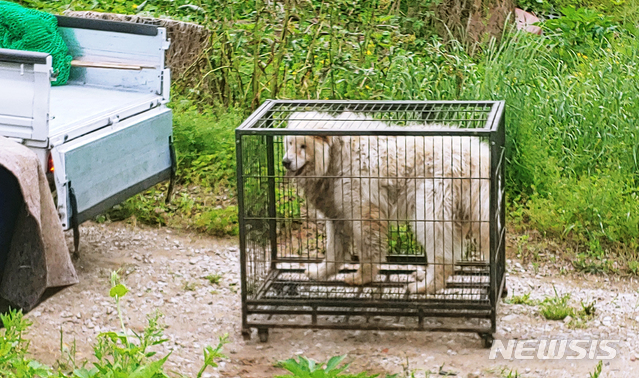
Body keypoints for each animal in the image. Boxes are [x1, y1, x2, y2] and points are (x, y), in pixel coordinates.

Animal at [282, 110, 492, 294]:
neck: (335, 153)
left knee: (441, 253)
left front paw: (360, 277)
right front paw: (319, 272)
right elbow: (335, 248)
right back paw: (423, 276)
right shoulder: (337, 208)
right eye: (289, 143)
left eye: (303, 146)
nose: (285, 161)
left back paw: (424, 286)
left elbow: (368, 245)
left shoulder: (362, 205)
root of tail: (478, 157)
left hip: (432, 202)